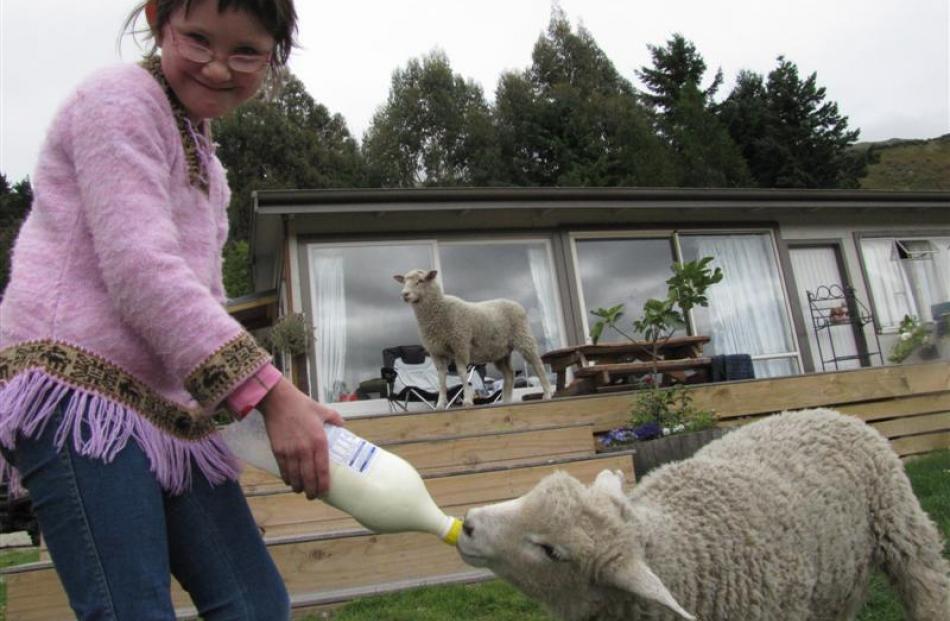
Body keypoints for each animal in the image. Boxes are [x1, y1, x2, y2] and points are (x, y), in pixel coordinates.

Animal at [396, 266, 556, 406]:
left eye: (420, 281)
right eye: (404, 282)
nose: (404, 294)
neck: (438, 310)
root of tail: (514, 303)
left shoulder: (460, 344)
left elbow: (462, 373)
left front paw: (467, 399)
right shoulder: (436, 351)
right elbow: (441, 378)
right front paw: (441, 403)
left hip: (523, 337)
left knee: (537, 363)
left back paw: (547, 392)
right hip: (500, 352)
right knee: (509, 375)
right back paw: (506, 401)